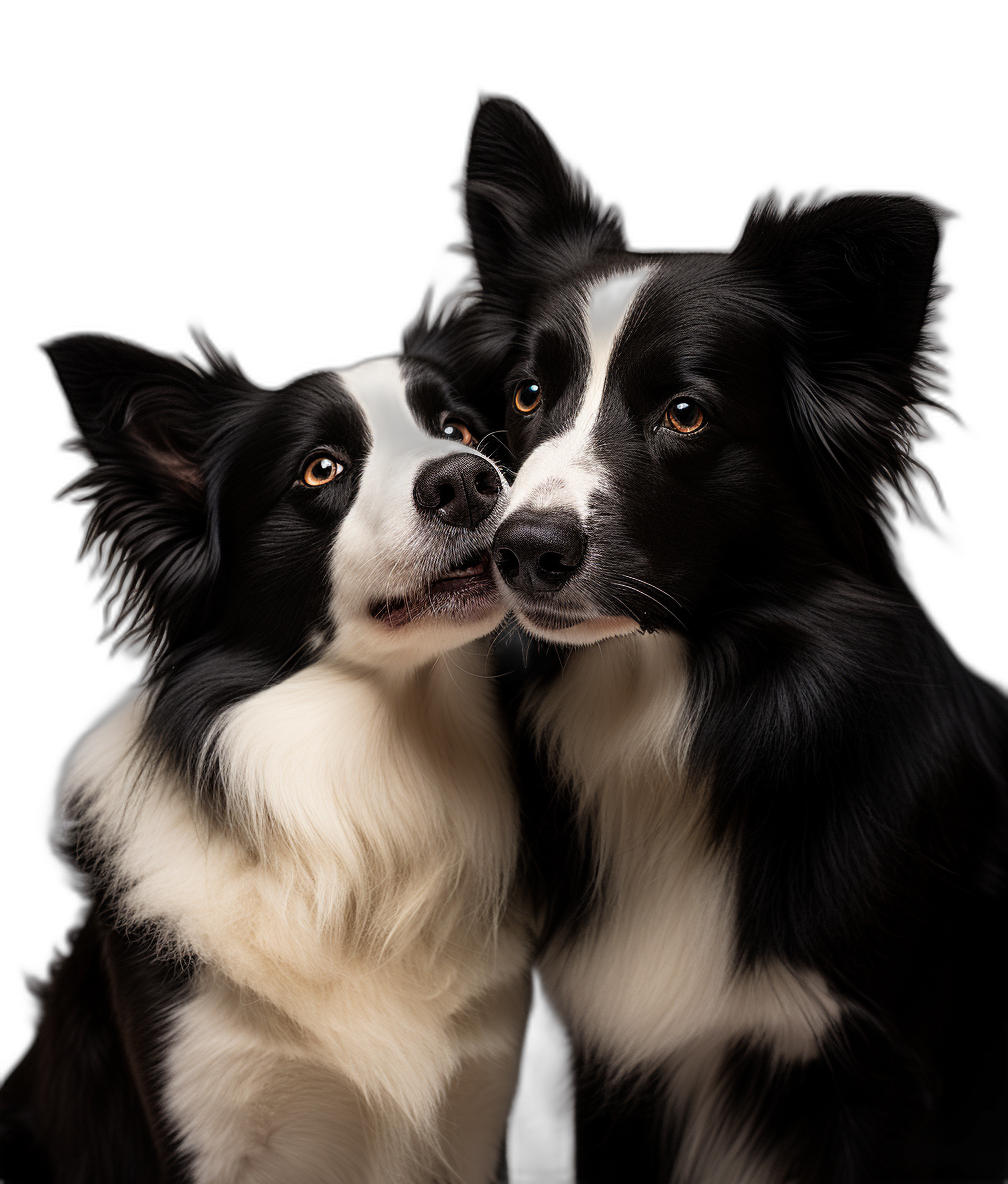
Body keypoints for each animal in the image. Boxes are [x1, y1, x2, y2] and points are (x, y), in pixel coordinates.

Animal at [461, 97, 1004, 1179]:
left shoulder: (880, 1077)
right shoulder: (618, 1065)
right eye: (528, 395)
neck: (685, 708)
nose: (520, 549)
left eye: (686, 413)